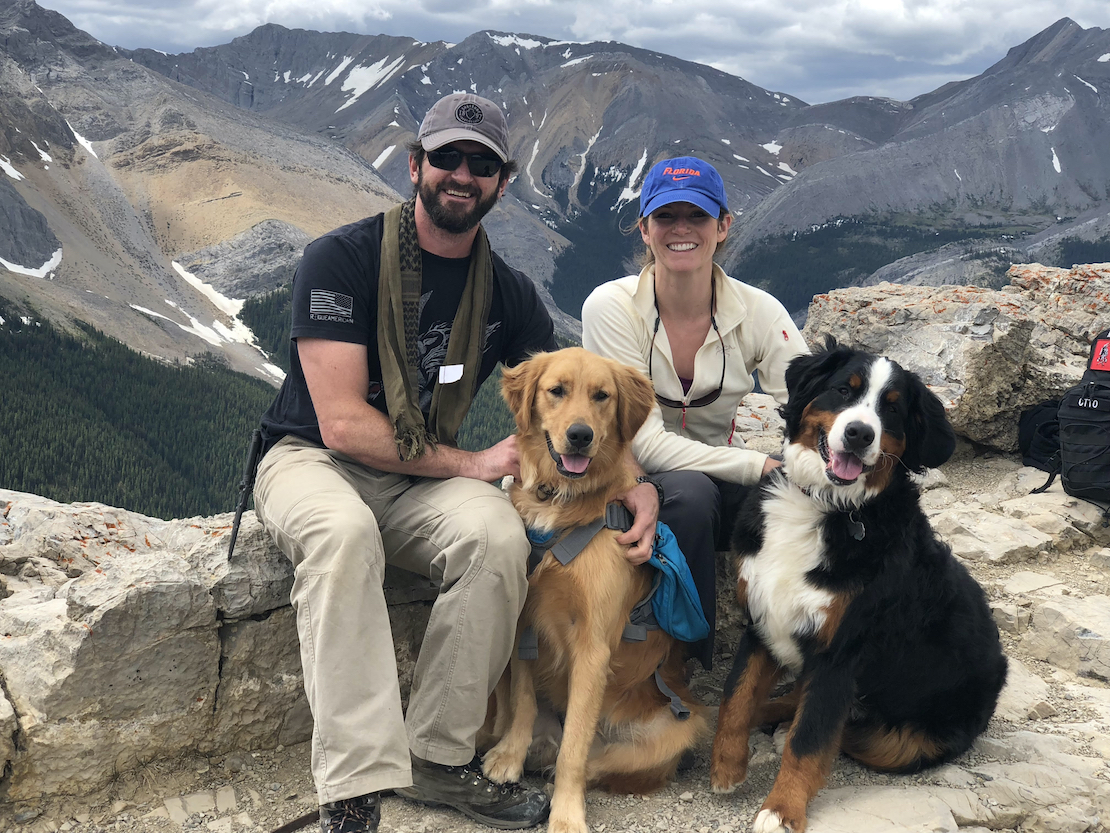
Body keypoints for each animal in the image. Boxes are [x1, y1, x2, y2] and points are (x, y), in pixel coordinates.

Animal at [710, 342, 1007, 833]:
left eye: (892, 410)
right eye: (843, 391)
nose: (859, 434)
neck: (825, 507)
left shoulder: (839, 653)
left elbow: (810, 740)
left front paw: (781, 810)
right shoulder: (762, 619)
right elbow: (735, 698)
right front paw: (726, 768)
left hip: (908, 741)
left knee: (850, 729)